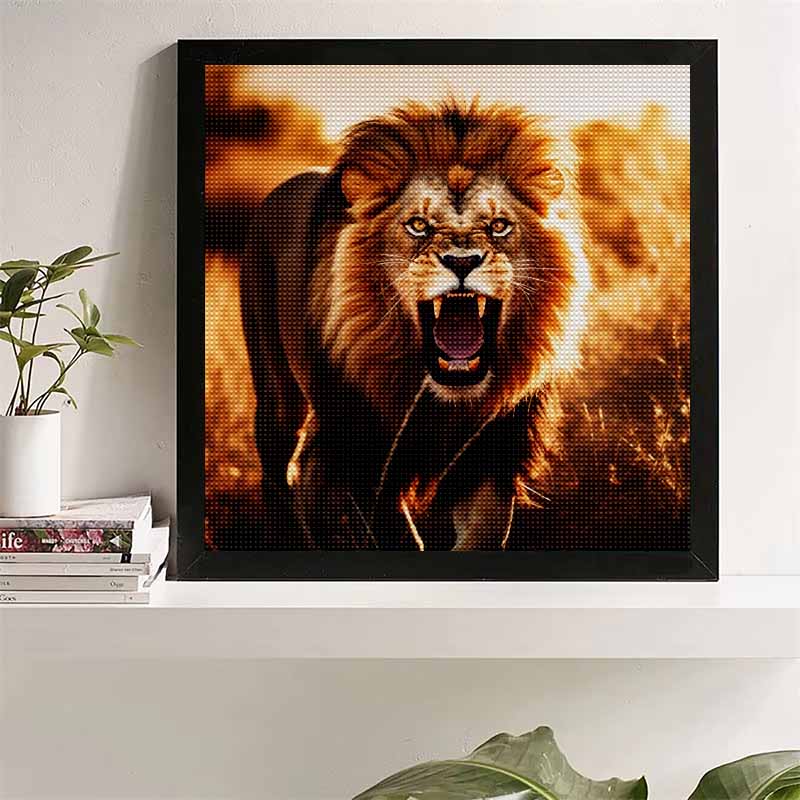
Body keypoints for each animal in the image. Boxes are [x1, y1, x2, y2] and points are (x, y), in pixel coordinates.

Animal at [241, 99, 591, 550]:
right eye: (418, 225)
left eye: (499, 226)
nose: (462, 261)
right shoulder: (364, 455)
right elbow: (394, 534)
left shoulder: (494, 449)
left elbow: (487, 532)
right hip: (278, 393)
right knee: (278, 471)